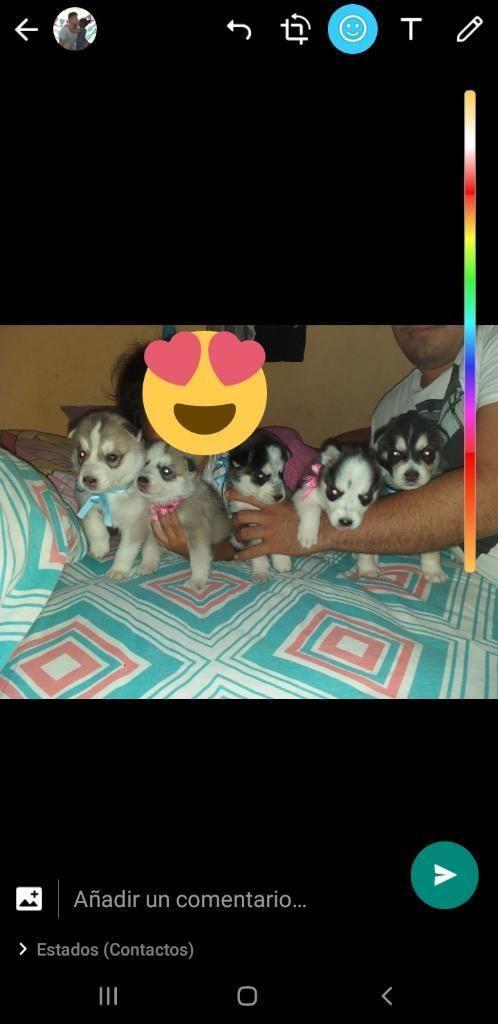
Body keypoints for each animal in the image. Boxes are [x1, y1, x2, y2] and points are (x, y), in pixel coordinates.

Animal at [69, 412, 159, 579]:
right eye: (82, 454)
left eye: (112, 457)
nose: (88, 480)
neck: (111, 492)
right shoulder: (85, 501)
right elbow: (94, 526)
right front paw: (100, 547)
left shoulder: (136, 520)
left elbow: (126, 549)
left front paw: (119, 570)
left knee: (151, 546)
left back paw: (148, 565)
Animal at [137, 441, 231, 592]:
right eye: (146, 463)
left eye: (166, 471)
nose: (141, 480)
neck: (169, 504)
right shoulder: (154, 530)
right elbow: (149, 547)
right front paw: (148, 564)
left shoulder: (197, 530)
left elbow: (199, 558)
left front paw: (197, 580)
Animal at [228, 429, 293, 584]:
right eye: (261, 476)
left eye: (281, 473)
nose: (279, 497)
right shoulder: (246, 526)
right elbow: (256, 551)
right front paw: (260, 571)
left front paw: (282, 561)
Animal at [293, 442, 382, 571]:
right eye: (334, 492)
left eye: (366, 497)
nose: (345, 522)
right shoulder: (305, 492)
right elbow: (311, 510)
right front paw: (308, 534)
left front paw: (367, 566)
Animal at [361, 411, 449, 583]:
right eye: (395, 453)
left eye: (427, 452)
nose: (411, 475)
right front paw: (367, 568)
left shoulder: (432, 515)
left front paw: (433, 570)